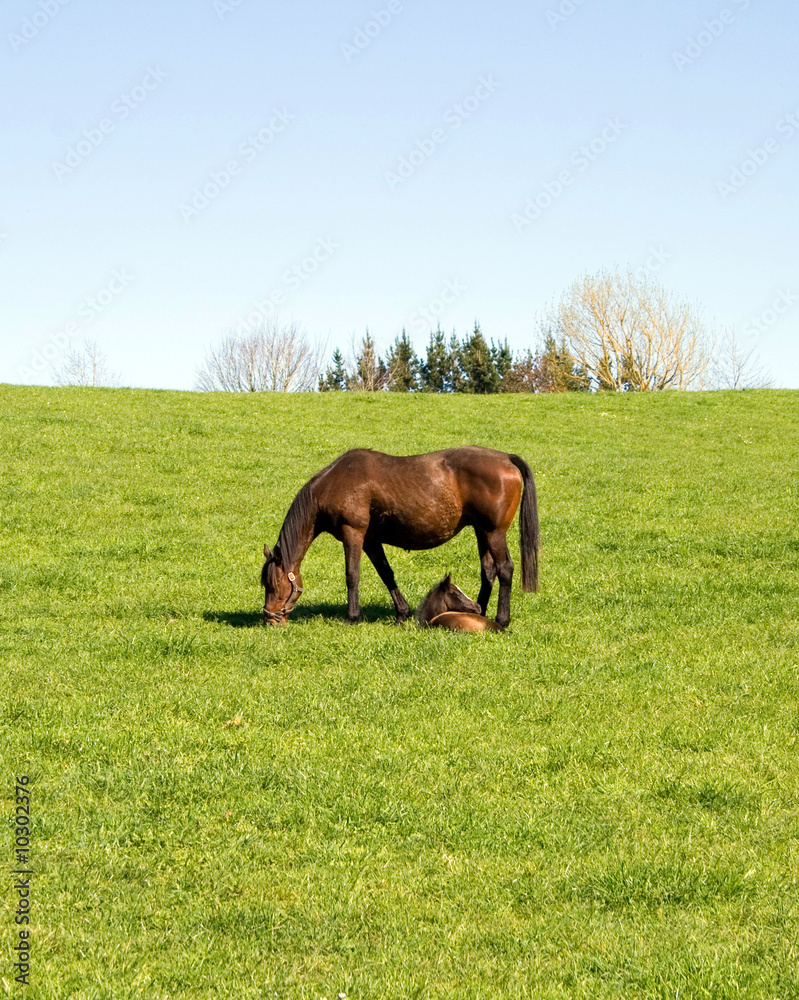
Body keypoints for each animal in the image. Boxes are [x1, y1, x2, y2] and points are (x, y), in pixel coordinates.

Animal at [261, 446, 539, 627]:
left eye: (274, 585)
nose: (270, 619)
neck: (333, 483)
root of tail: (506, 458)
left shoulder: (354, 533)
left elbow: (352, 575)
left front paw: (352, 617)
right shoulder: (371, 540)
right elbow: (387, 574)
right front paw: (401, 613)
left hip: (494, 533)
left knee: (505, 569)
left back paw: (502, 618)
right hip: (482, 532)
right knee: (488, 571)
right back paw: (478, 614)